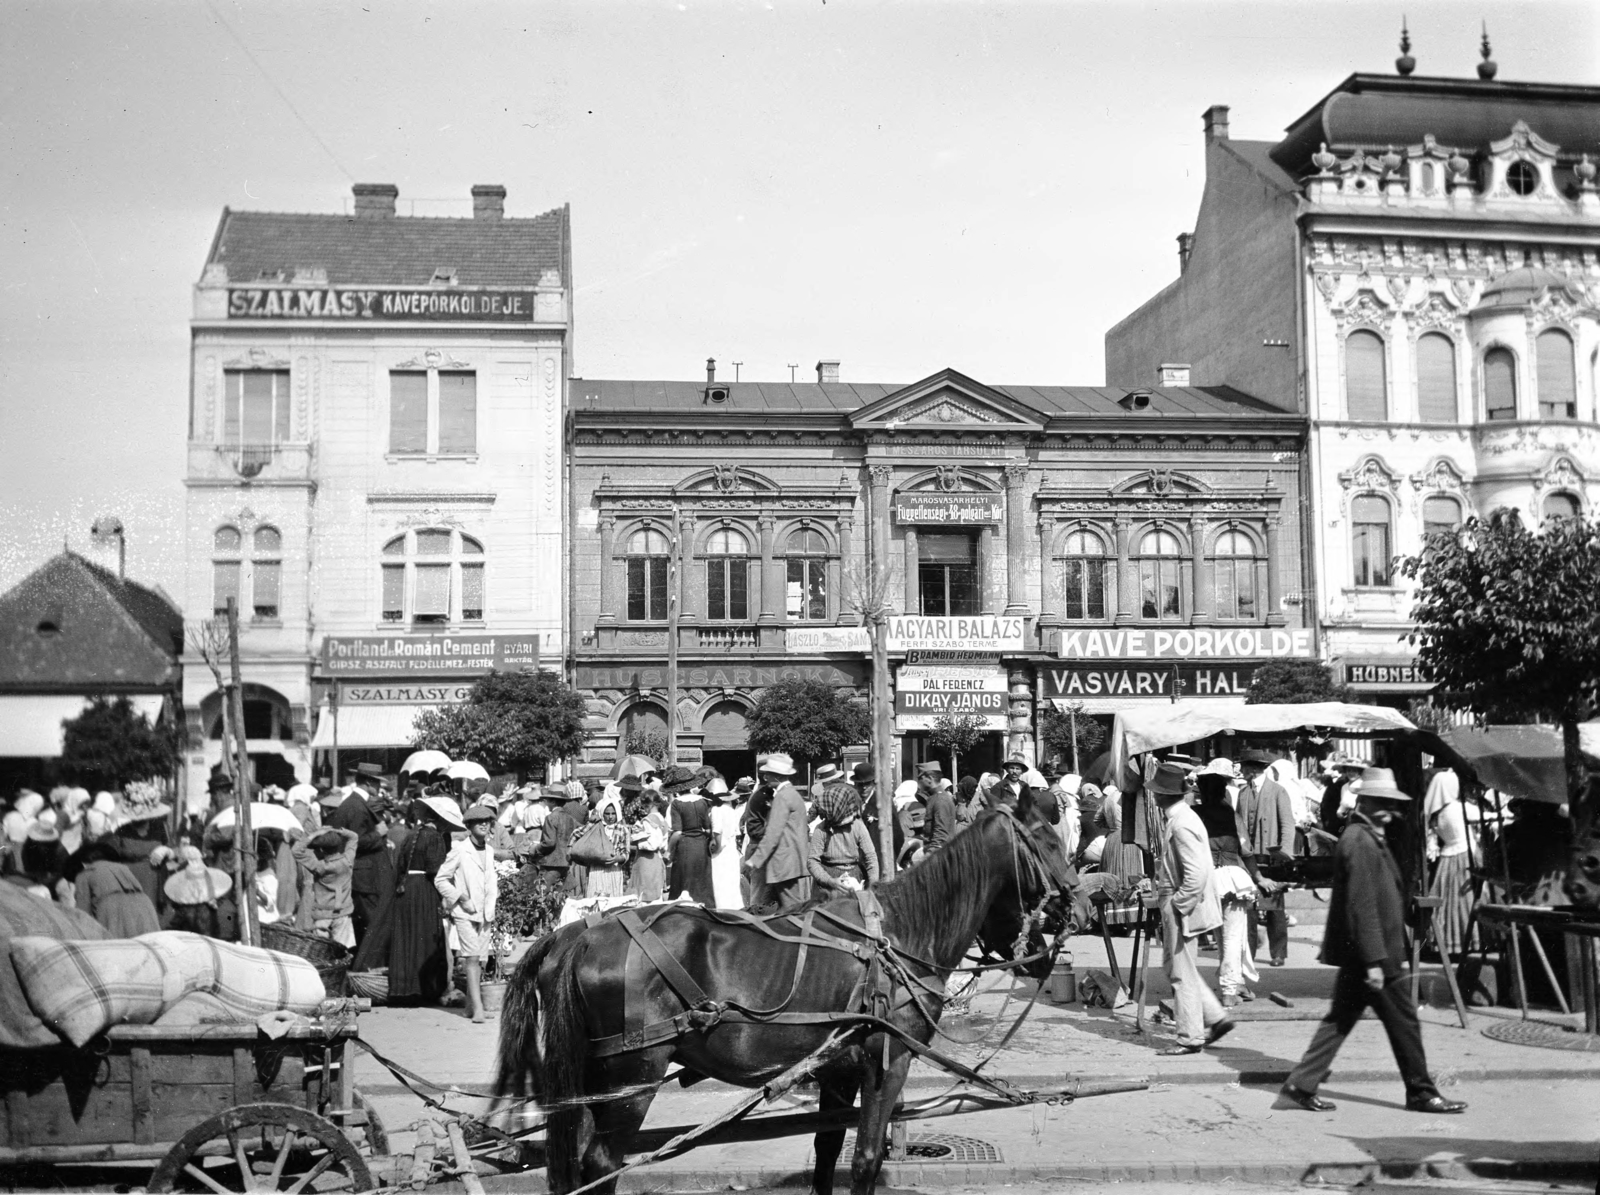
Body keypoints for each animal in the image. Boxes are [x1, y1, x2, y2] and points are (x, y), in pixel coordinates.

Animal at [492, 793, 1081, 1195]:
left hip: (594, 1078)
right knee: (602, 1165)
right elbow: (865, 1158)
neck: (901, 933)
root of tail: (581, 933)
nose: (1077, 901)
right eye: (1050, 843)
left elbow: (826, 1153)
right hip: (631, 1076)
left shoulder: (839, 1070)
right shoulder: (887, 1062)